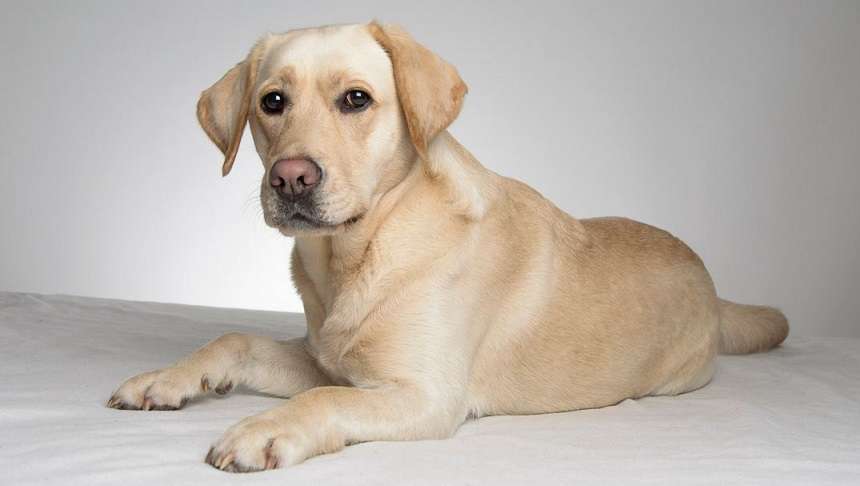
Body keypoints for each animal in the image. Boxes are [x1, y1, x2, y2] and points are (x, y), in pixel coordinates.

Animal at [107, 21, 788, 470]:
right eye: (272, 102)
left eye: (356, 98)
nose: (291, 177)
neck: (359, 253)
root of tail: (711, 284)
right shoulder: (322, 358)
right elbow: (236, 339)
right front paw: (166, 379)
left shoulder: (423, 396)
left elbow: (325, 398)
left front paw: (262, 429)